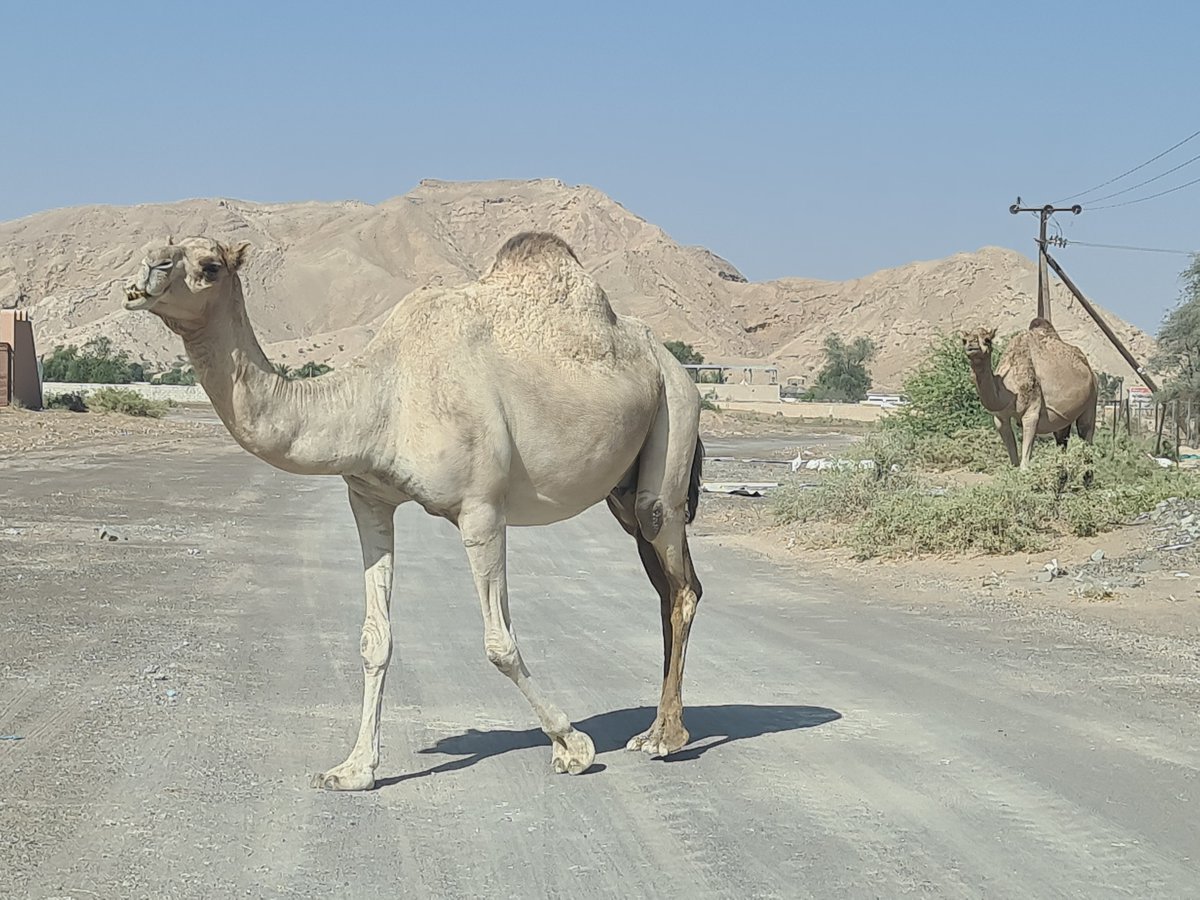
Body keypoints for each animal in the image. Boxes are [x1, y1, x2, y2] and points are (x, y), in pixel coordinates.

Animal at [122, 232, 705, 790]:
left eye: (209, 265)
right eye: (161, 245)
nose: (145, 270)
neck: (381, 397)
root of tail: (673, 363)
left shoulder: (481, 509)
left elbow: (499, 642)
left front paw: (572, 746)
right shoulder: (369, 499)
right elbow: (374, 638)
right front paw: (353, 770)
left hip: (674, 419)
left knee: (679, 579)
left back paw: (664, 737)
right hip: (623, 491)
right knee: (670, 586)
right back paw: (658, 727)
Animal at [961, 317, 1098, 468]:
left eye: (987, 339)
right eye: (964, 340)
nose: (972, 345)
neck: (1009, 391)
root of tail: (1090, 371)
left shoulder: (1031, 412)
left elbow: (1024, 465)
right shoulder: (1000, 418)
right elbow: (1014, 462)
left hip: (1092, 400)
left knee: (1086, 436)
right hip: (1062, 419)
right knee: (1062, 440)